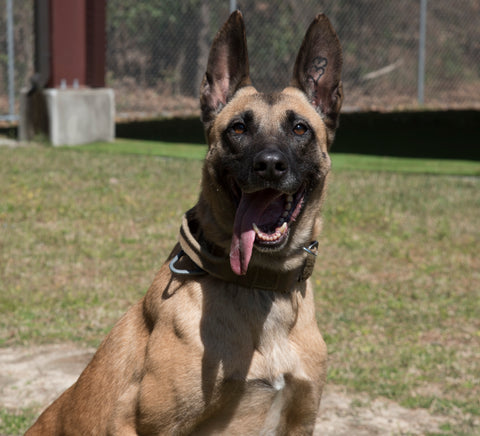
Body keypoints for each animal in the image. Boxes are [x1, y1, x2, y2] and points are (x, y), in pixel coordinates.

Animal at [26, 11, 344, 436]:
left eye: (299, 128)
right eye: (238, 128)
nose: (270, 165)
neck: (259, 286)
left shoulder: (301, 419)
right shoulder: (135, 421)